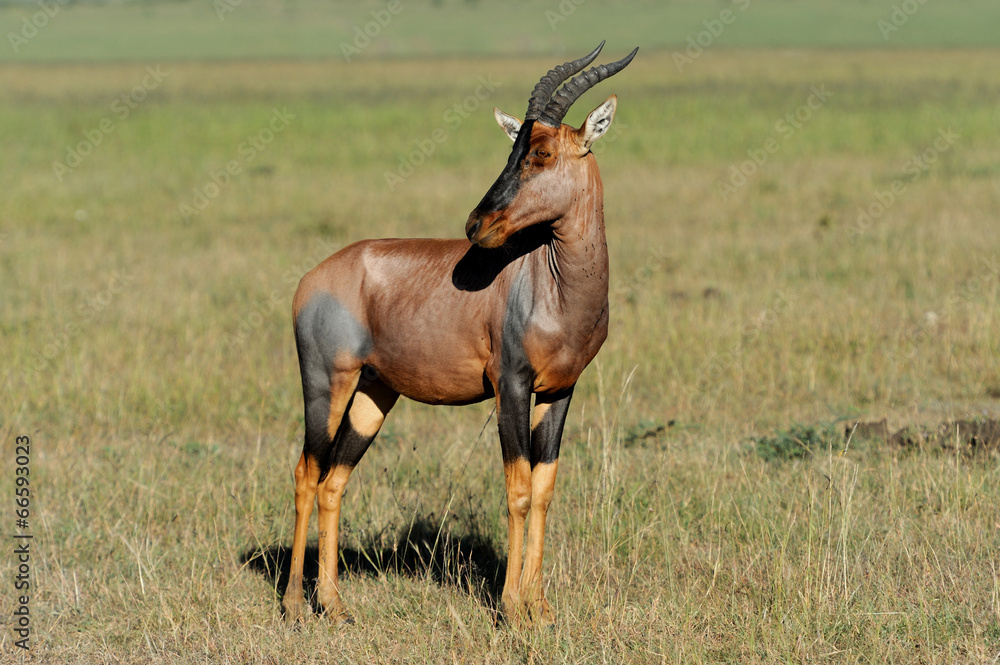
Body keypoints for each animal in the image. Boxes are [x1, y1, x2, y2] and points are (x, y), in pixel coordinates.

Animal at [282, 42, 638, 627]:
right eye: (514, 148)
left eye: (541, 153)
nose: (476, 225)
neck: (551, 278)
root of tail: (311, 279)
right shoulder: (510, 384)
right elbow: (517, 488)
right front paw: (512, 608)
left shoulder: (561, 390)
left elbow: (544, 488)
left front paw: (541, 607)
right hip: (325, 383)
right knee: (306, 472)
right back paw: (293, 603)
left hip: (375, 392)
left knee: (334, 480)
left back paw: (334, 605)